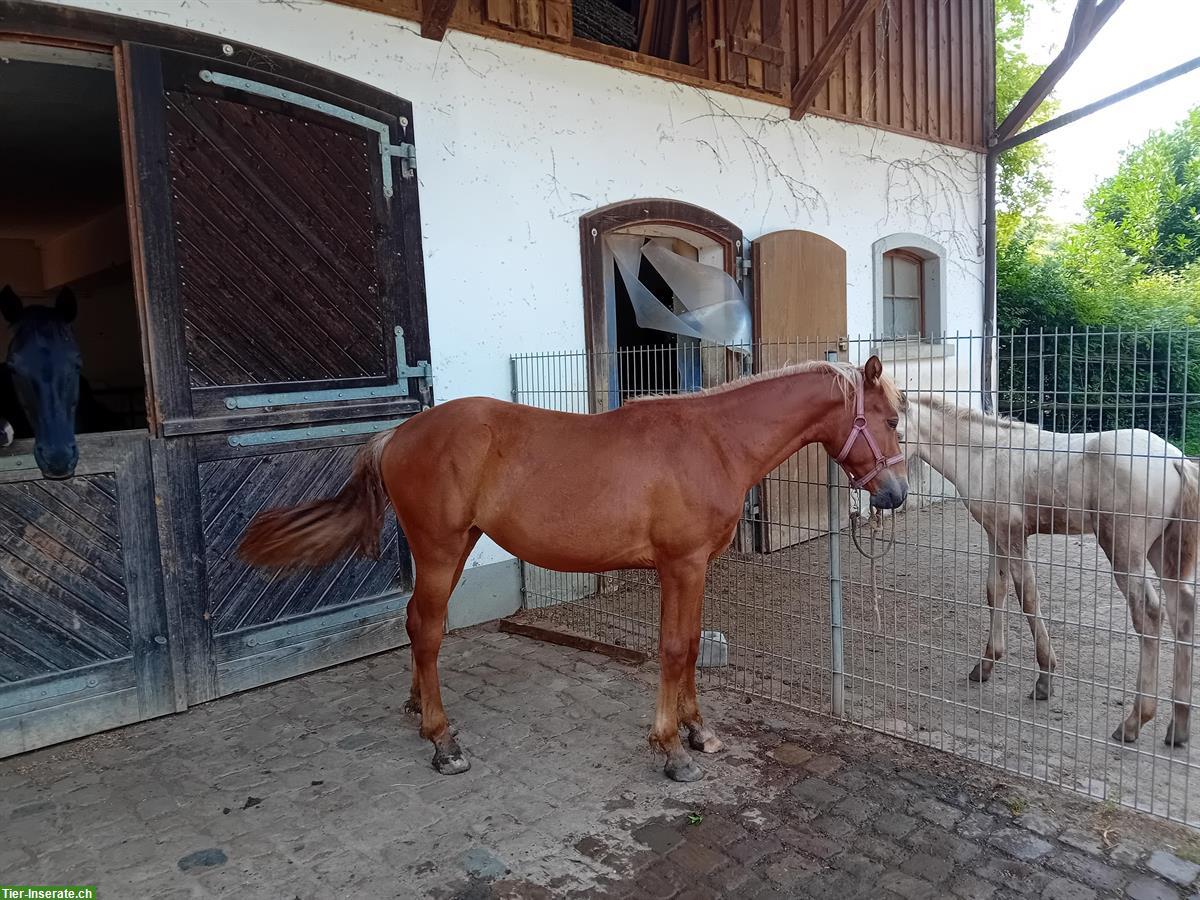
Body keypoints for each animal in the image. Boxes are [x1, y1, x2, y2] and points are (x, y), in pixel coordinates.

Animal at [238, 357, 902, 782]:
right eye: (893, 420)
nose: (894, 495)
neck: (713, 441)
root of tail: (398, 434)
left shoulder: (693, 571)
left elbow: (690, 646)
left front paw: (697, 731)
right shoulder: (681, 566)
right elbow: (675, 648)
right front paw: (671, 749)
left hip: (455, 548)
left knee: (412, 624)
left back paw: (416, 710)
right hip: (440, 550)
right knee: (426, 631)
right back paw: (443, 740)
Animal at [902, 393, 1195, 748]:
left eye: (894, 428)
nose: (888, 491)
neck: (985, 454)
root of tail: (1176, 460)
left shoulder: (1013, 535)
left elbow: (1027, 597)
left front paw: (1044, 679)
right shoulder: (995, 534)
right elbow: (994, 591)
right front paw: (984, 666)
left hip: (1126, 552)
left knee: (1150, 614)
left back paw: (1133, 722)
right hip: (1163, 551)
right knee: (1182, 611)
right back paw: (1178, 727)